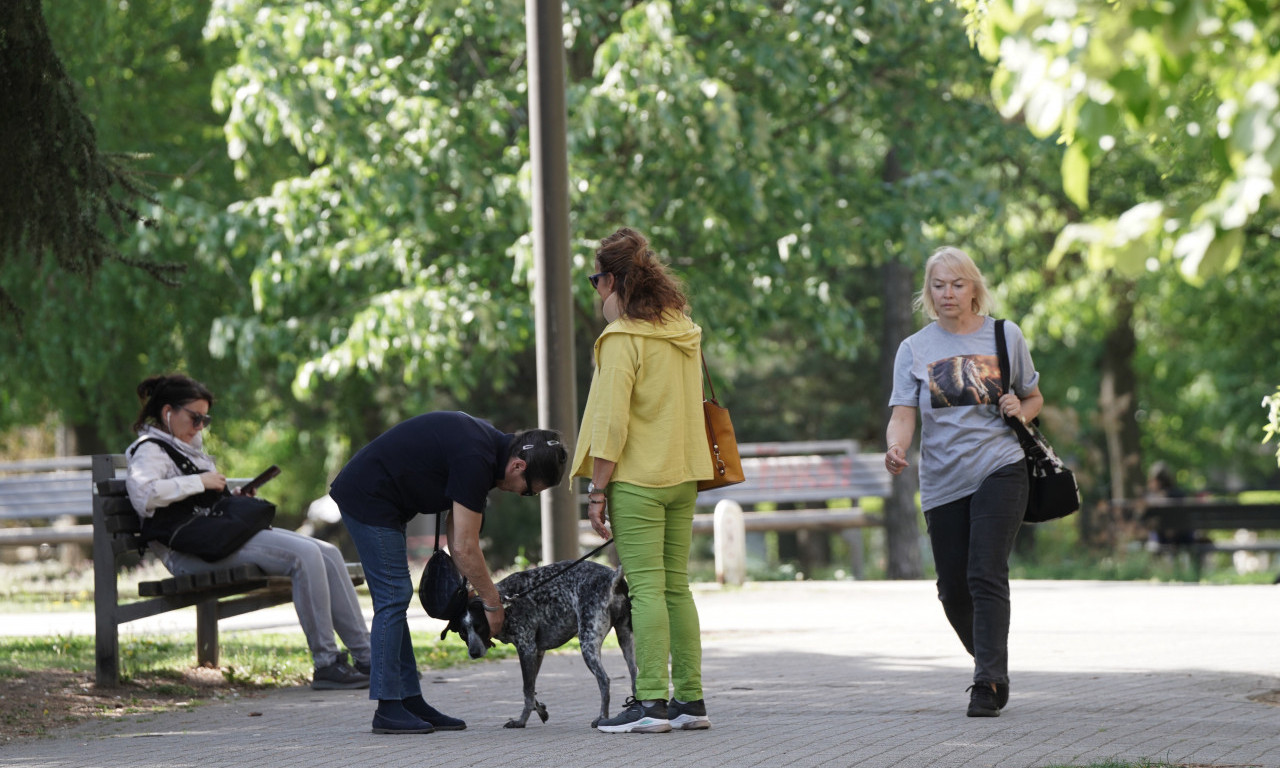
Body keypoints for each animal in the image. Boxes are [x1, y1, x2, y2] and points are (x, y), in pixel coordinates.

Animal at [460, 558, 640, 727]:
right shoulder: (537, 653)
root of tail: (611, 578)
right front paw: (540, 710)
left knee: (604, 680)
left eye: (480, 627)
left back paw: (602, 717)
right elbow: (531, 691)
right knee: (634, 676)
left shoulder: (527, 650)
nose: (473, 653)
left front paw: (521, 721)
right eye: (462, 633)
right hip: (625, 641)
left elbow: (527, 691)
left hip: (588, 644)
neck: (505, 603)